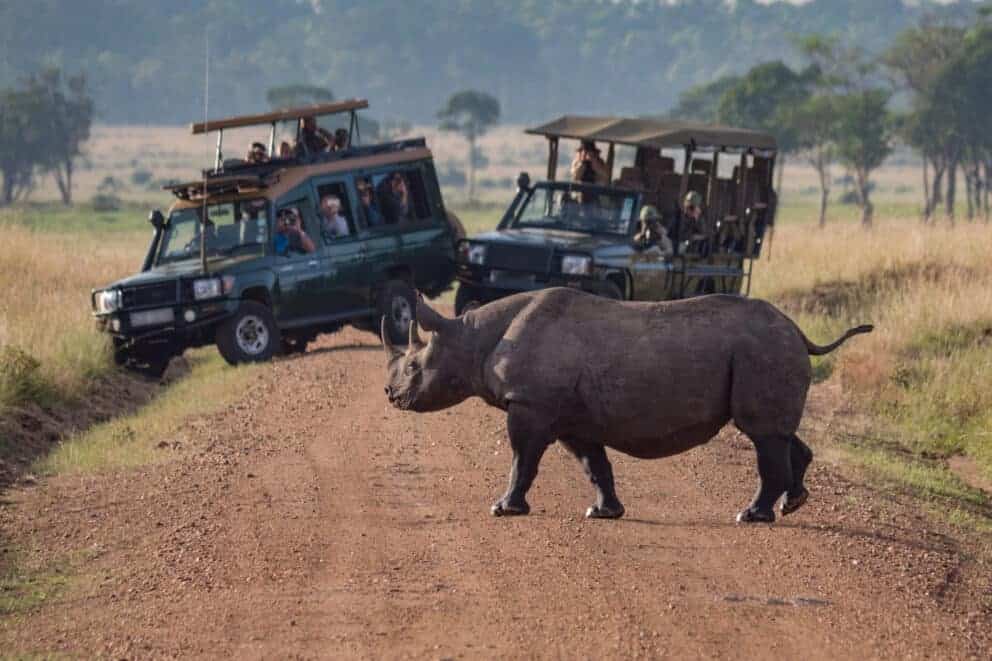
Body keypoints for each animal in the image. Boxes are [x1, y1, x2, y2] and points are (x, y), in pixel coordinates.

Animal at [382, 287, 872, 523]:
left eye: (413, 365)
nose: (389, 395)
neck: (471, 337)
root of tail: (798, 330)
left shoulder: (532, 404)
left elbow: (522, 459)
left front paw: (503, 509)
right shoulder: (569, 416)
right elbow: (593, 464)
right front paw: (604, 513)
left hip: (763, 349)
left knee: (762, 434)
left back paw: (751, 517)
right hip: (769, 349)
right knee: (778, 433)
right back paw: (793, 504)